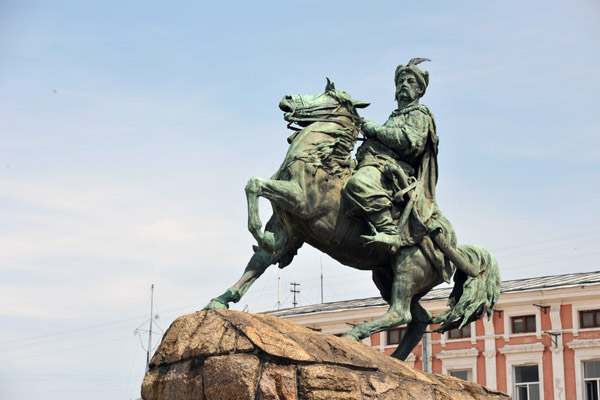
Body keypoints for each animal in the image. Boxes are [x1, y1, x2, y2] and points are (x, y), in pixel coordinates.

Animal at [204, 79, 500, 360]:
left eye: (328, 95)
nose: (286, 98)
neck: (319, 161)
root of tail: (453, 247)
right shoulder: (286, 230)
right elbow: (256, 264)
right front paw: (221, 300)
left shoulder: (299, 200)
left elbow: (254, 184)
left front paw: (257, 233)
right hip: (386, 276)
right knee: (419, 319)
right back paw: (397, 359)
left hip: (408, 268)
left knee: (400, 313)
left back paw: (353, 334)